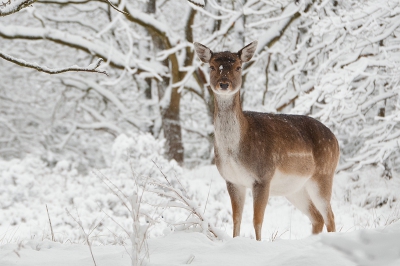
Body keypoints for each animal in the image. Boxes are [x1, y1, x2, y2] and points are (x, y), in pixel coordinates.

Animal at [194, 41, 340, 241]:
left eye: (238, 67)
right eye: (212, 66)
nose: (224, 84)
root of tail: (336, 140)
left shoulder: (263, 176)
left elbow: (257, 220)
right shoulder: (232, 180)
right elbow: (236, 219)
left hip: (323, 175)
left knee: (330, 216)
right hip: (295, 188)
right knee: (317, 218)